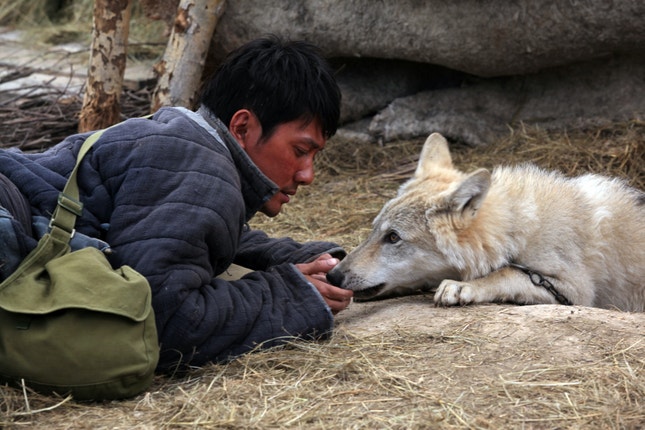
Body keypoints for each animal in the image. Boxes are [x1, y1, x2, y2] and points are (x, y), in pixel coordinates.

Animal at [328, 133, 644, 310]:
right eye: (374, 230)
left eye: (393, 237)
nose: (333, 276)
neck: (515, 230)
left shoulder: (575, 290)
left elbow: (505, 274)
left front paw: (462, 287)